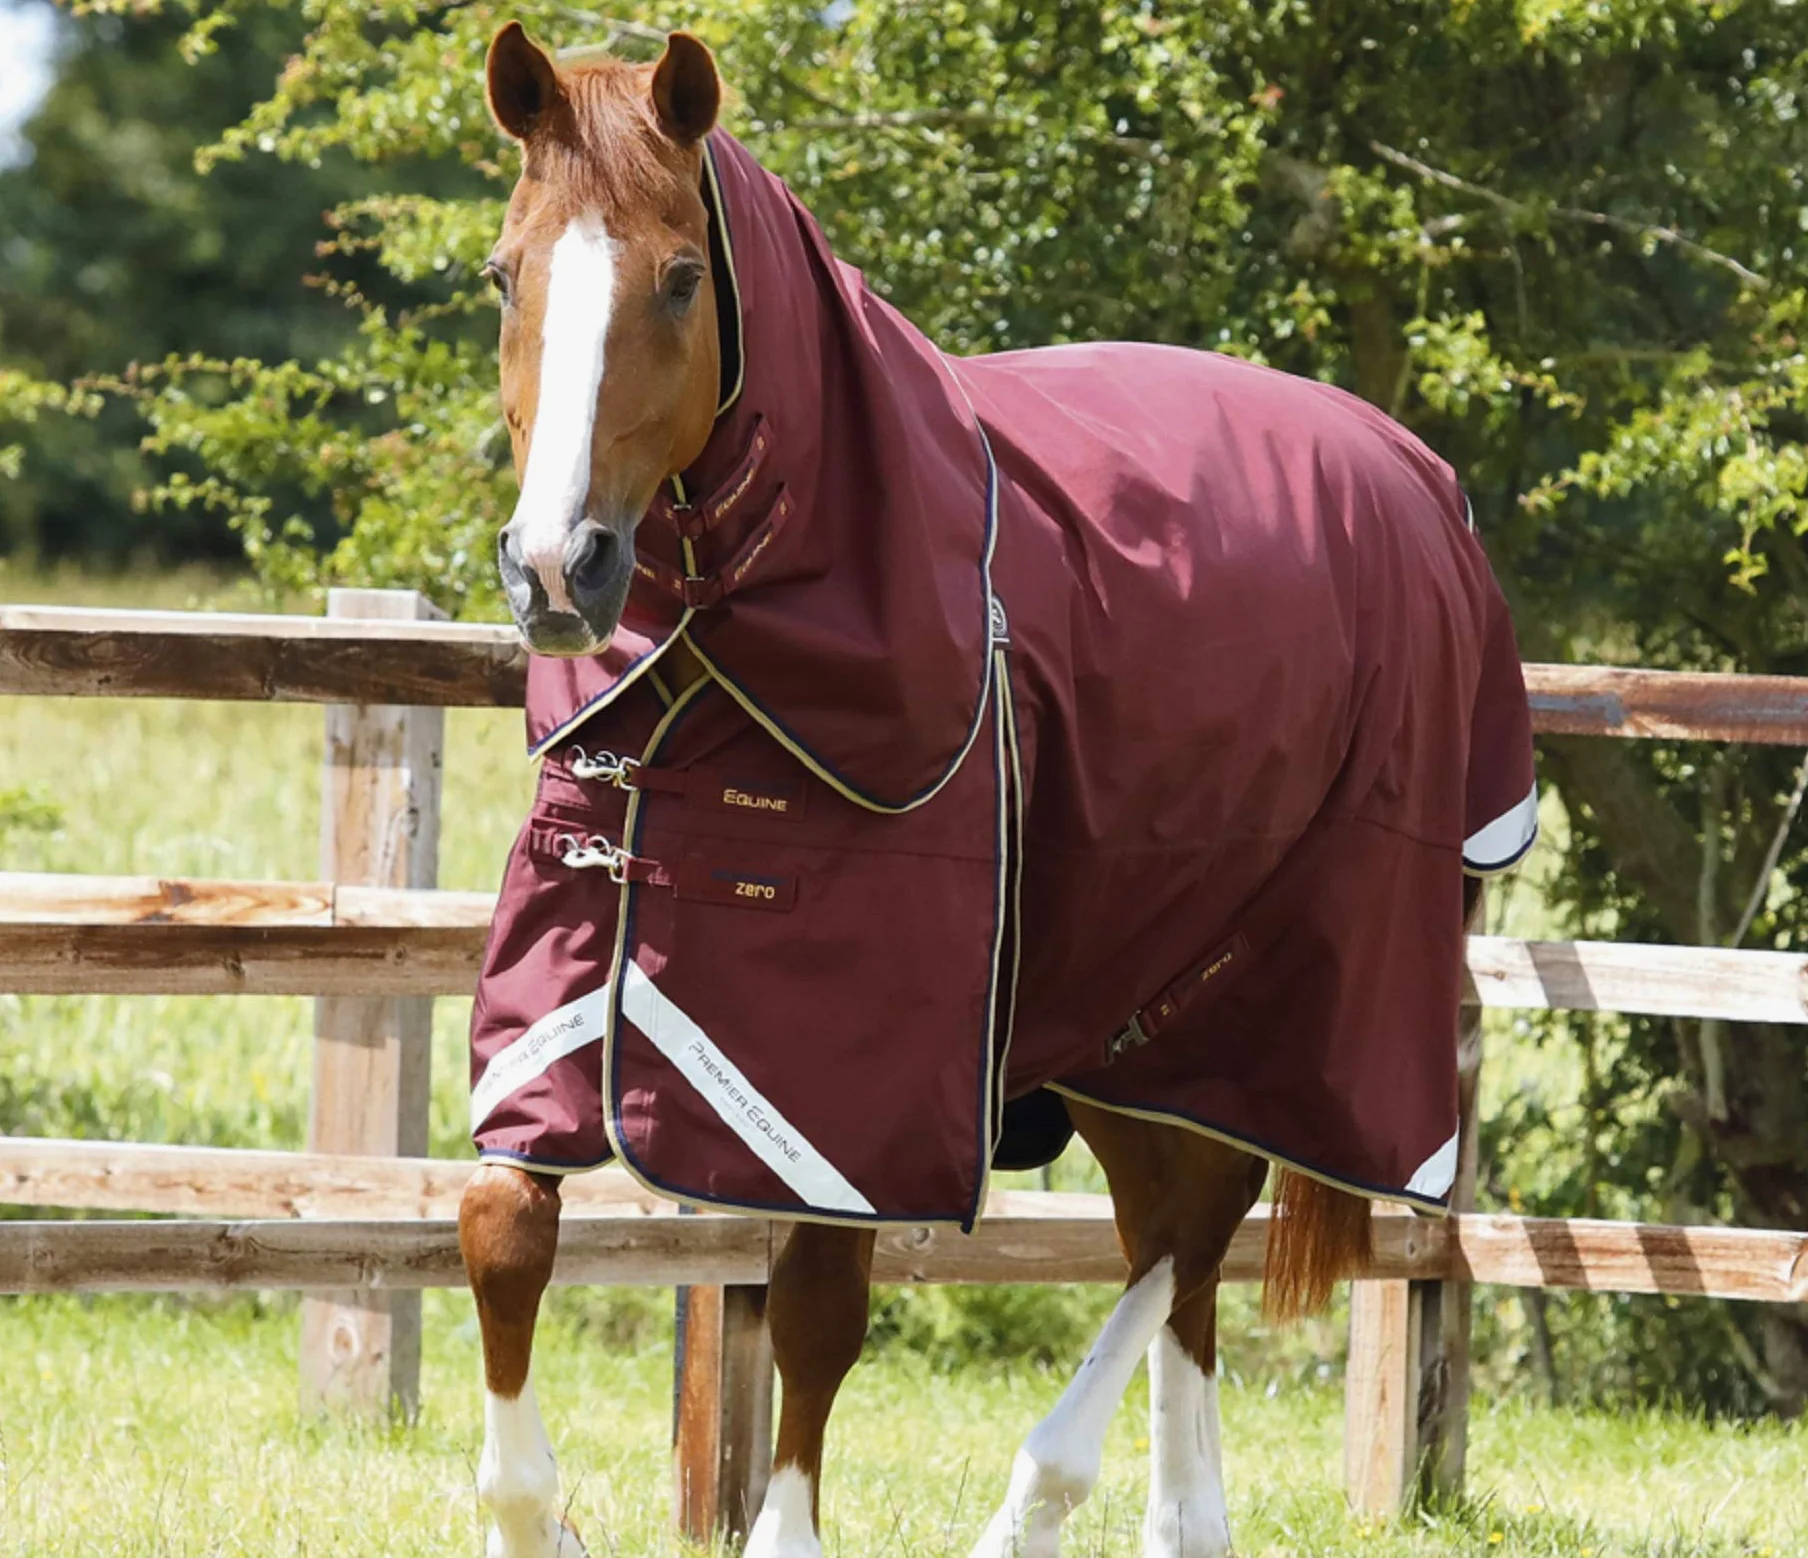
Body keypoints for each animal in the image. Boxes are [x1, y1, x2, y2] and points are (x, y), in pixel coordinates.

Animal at [458, 24, 1536, 1558]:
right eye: (505, 273)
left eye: (678, 276)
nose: (559, 568)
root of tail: (1413, 476)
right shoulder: (570, 974)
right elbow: (500, 1224)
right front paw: (528, 1515)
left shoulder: (850, 1076)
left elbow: (818, 1308)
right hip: (1125, 1006)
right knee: (1177, 1229)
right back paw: (1178, 1519)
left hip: (1288, 981)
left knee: (1196, 1220)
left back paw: (1043, 1496)